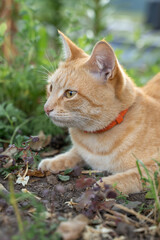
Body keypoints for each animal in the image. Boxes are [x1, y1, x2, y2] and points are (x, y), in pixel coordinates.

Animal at [38, 30, 160, 195]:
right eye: (51, 87)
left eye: (70, 94)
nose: (46, 108)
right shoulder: (82, 151)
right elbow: (74, 153)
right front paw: (53, 161)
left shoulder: (155, 168)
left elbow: (135, 175)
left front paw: (105, 183)